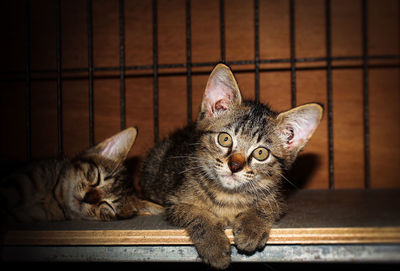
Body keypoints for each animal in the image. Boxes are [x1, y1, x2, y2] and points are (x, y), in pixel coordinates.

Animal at [139, 63, 324, 270]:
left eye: (261, 153)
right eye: (225, 139)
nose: (234, 166)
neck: (228, 196)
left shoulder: (277, 200)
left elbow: (265, 207)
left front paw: (252, 228)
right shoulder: (174, 202)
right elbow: (198, 216)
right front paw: (214, 245)